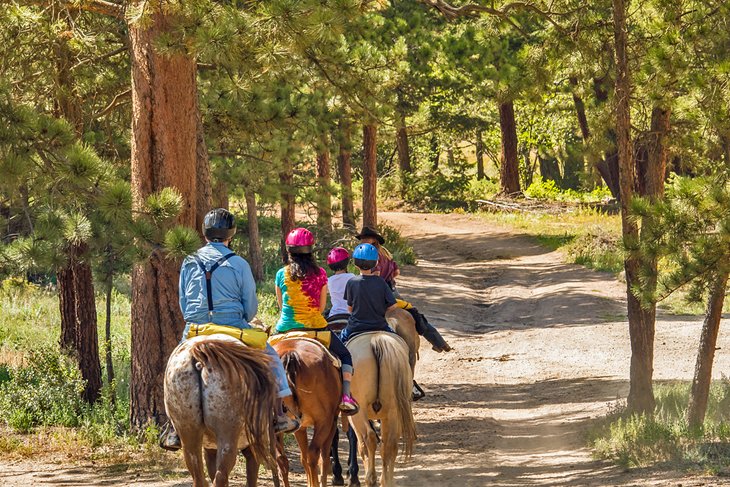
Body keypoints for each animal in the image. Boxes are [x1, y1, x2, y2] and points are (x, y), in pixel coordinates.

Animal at [164, 336, 278, 487]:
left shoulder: (210, 449)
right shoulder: (253, 447)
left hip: (189, 434)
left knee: (199, 476)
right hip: (227, 436)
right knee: (221, 476)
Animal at [272, 340, 342, 487]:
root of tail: (290, 354)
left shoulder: (300, 427)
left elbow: (302, 458)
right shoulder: (331, 422)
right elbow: (324, 457)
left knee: (282, 459)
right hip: (324, 423)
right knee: (314, 454)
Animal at [346, 332, 416, 487]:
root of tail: (376, 340)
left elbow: (360, 445)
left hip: (359, 413)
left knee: (369, 439)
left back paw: (370, 478)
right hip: (393, 412)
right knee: (390, 444)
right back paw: (387, 481)